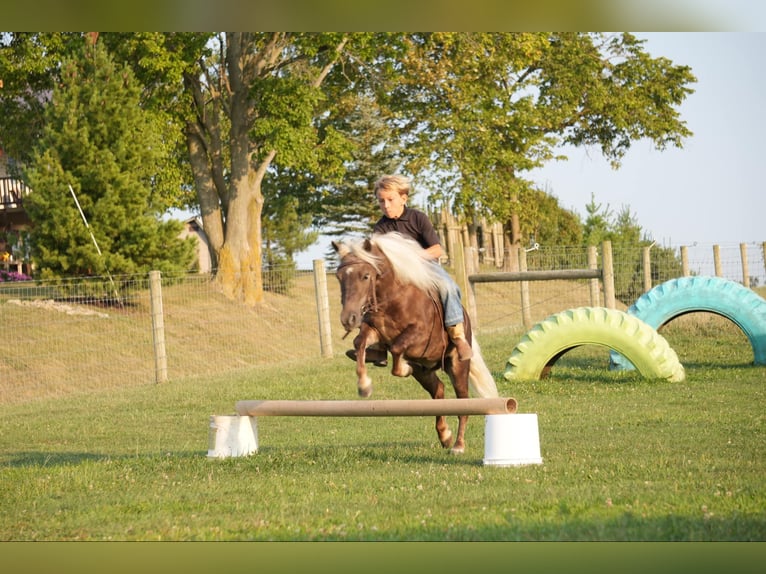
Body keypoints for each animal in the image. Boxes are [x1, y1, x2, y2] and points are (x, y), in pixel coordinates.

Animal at [332, 233, 500, 454]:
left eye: (366, 276)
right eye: (339, 277)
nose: (348, 319)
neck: (392, 297)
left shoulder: (418, 334)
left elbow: (397, 349)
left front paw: (403, 367)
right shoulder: (375, 331)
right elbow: (360, 343)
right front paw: (364, 386)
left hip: (458, 367)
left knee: (463, 404)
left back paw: (458, 445)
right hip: (425, 372)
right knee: (438, 390)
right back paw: (445, 436)